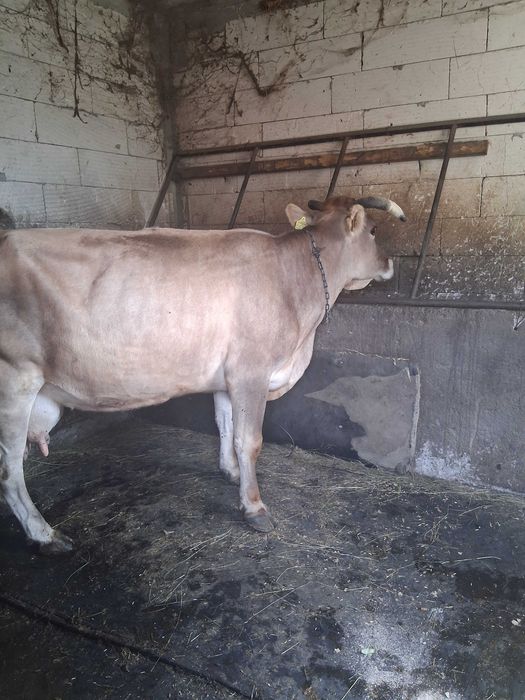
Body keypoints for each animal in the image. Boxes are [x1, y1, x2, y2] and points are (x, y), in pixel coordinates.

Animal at [0, 195, 406, 554]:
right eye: (373, 231)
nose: (390, 262)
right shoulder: (251, 371)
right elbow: (250, 440)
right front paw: (254, 507)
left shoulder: (227, 377)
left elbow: (225, 425)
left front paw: (231, 472)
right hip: (14, 383)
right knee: (10, 469)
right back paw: (45, 535)